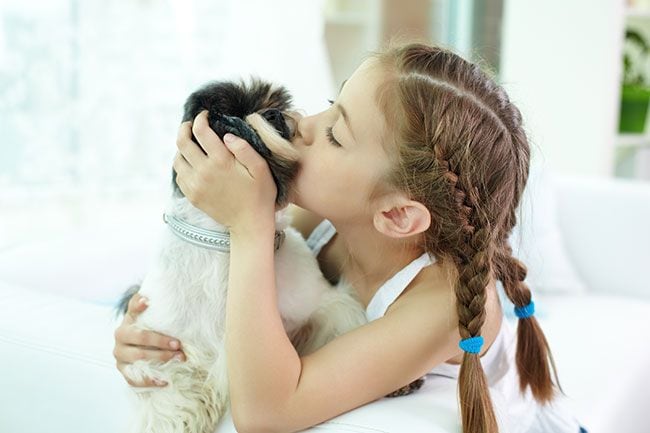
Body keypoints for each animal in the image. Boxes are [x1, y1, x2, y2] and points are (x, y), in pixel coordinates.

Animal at [115, 79, 370, 432]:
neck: (227, 243)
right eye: (230, 117)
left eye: (274, 102)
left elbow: (342, 320)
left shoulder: (322, 305)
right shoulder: (159, 346)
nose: (274, 114)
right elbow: (168, 393)